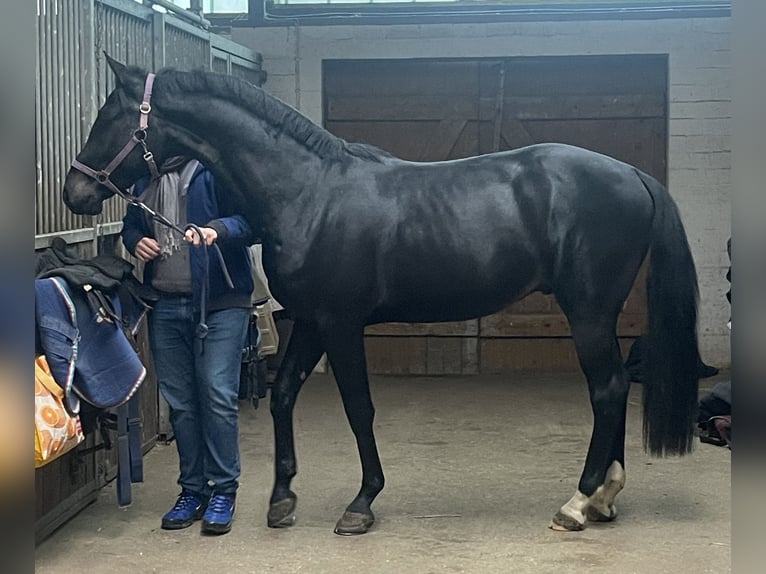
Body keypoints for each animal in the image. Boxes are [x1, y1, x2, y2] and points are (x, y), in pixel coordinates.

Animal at [66, 57, 704, 536]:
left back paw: (578, 502)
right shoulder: (312, 322)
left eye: (111, 116)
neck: (308, 191)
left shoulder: (341, 324)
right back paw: (603, 499)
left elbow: (359, 408)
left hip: (588, 312)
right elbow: (283, 396)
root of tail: (633, 175)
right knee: (613, 389)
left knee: (609, 389)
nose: (75, 192)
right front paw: (282, 498)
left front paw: (361, 502)